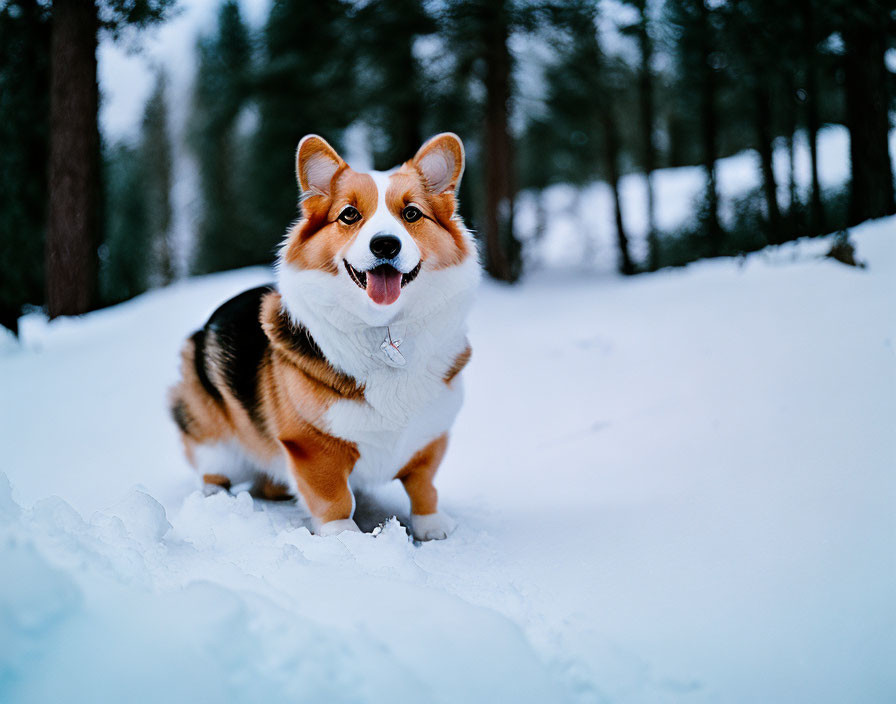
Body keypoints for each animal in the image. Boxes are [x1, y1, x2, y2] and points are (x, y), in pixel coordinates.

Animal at [165, 133, 480, 540]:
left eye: (412, 214)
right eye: (349, 215)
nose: (385, 244)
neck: (384, 328)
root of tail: (206, 326)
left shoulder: (430, 435)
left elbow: (424, 486)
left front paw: (431, 525)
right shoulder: (310, 446)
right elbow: (334, 498)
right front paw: (344, 538)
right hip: (214, 440)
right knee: (213, 471)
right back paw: (215, 500)